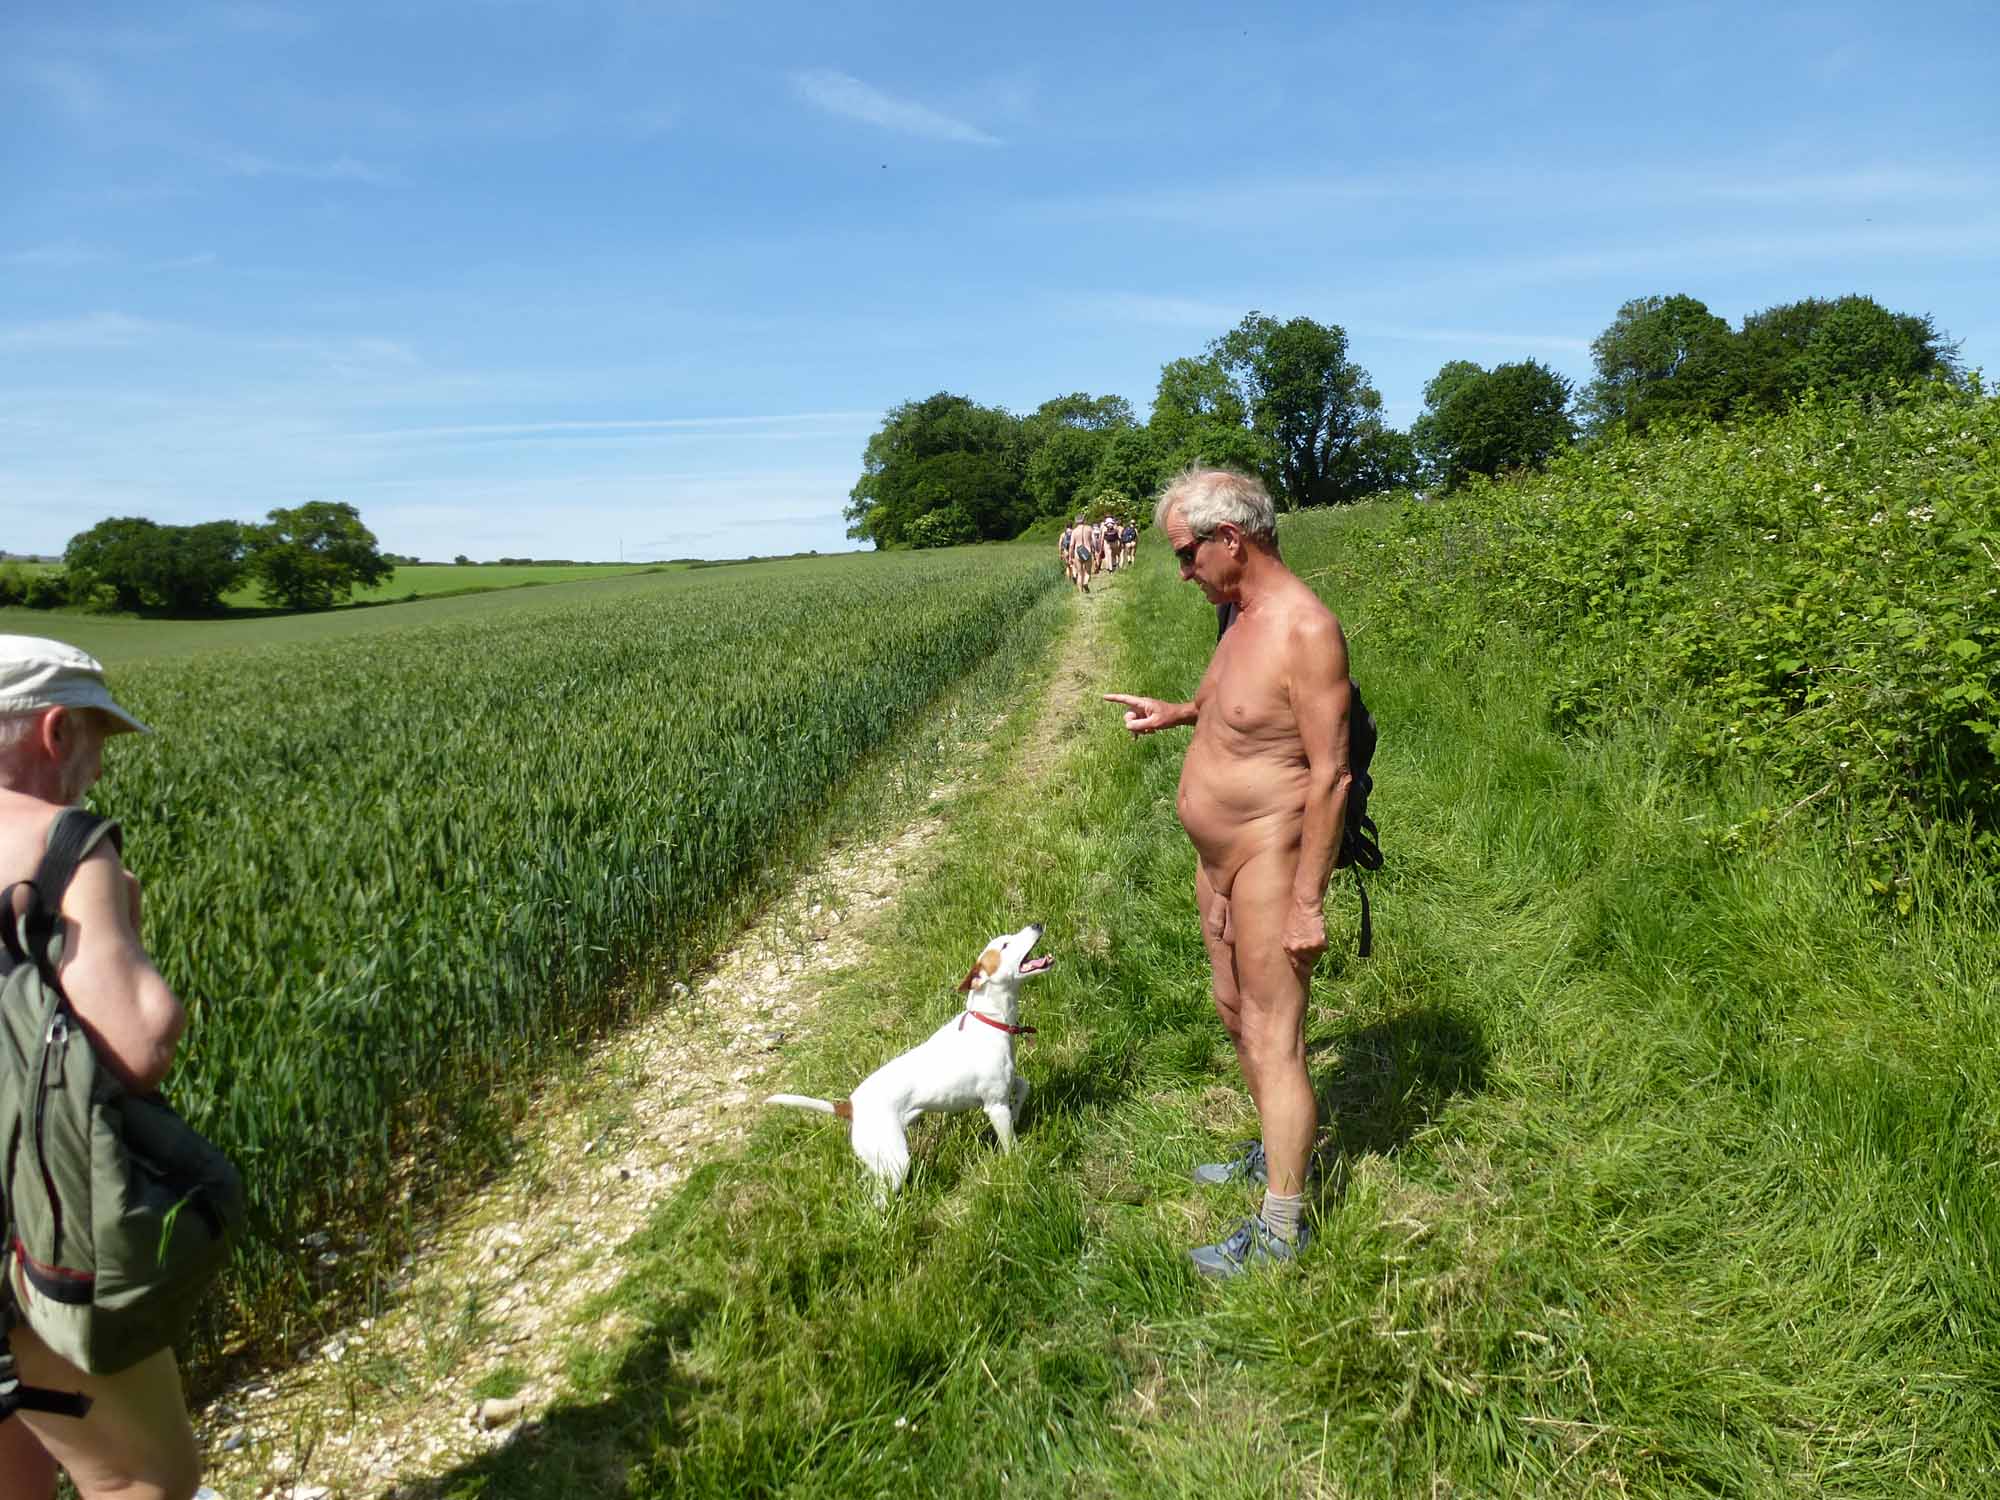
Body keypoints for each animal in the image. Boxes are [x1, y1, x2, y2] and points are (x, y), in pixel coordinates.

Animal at [766, 922, 1053, 1196]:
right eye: (1005, 945)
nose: (1037, 924)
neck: (989, 1020)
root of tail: (850, 1106)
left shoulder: (1007, 1084)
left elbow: (1023, 1086)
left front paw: (1018, 1112)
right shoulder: (994, 1105)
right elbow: (1010, 1144)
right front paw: (1018, 1164)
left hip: (881, 1157)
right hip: (896, 1162)